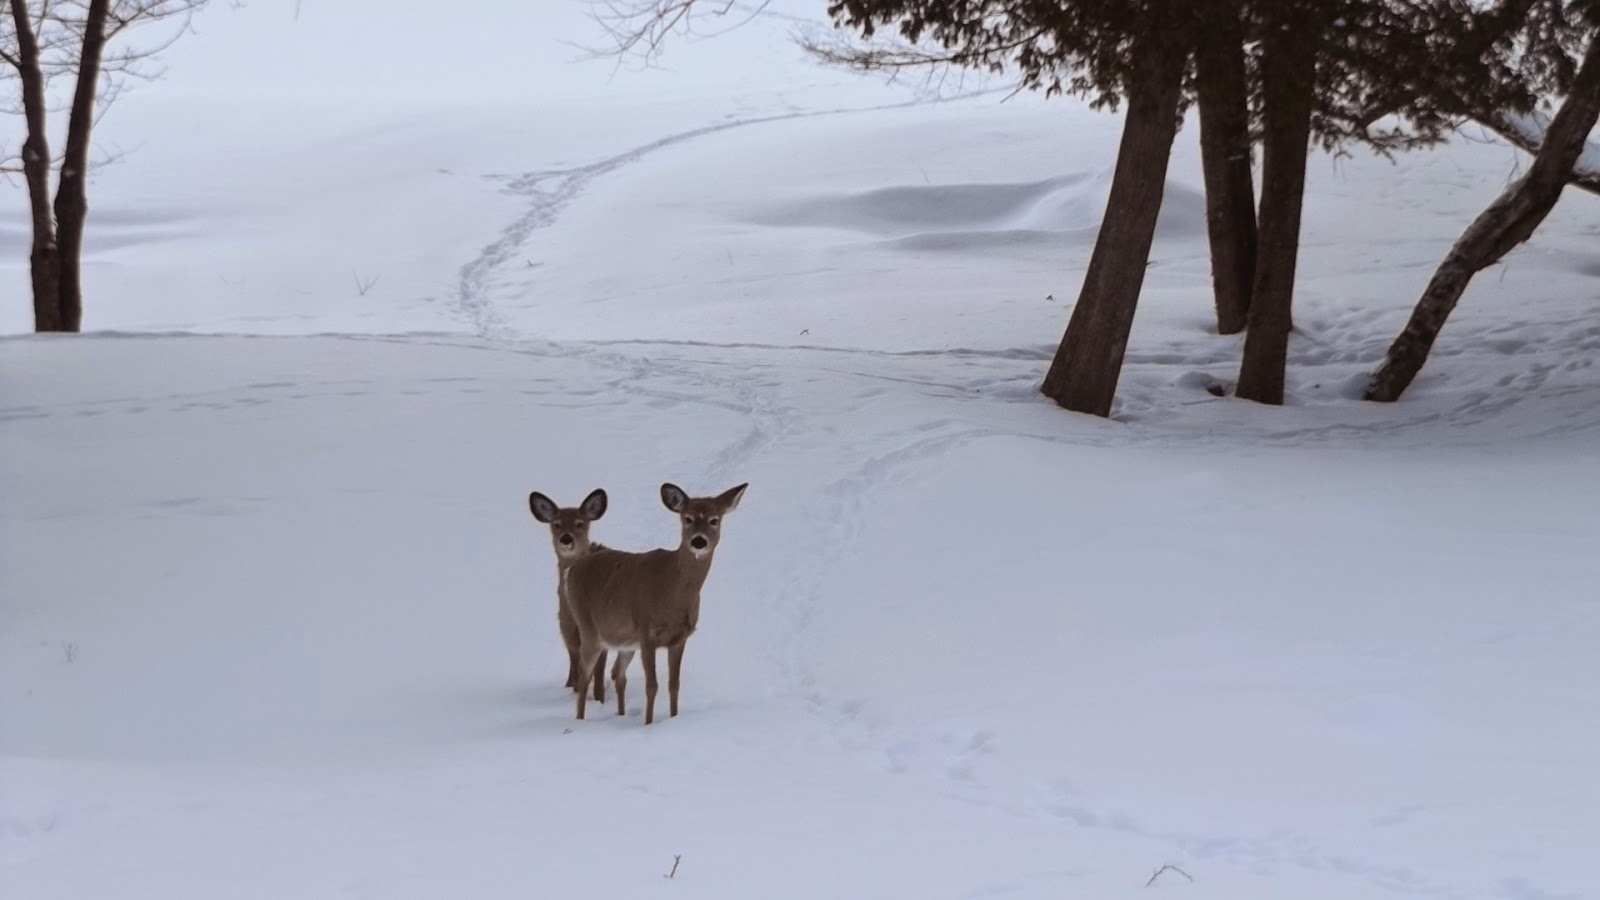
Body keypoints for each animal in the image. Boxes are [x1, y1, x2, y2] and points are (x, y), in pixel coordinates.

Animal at [528, 488, 611, 701]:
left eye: (580, 523)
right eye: (556, 524)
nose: (566, 538)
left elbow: (599, 671)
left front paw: (599, 699)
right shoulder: (568, 632)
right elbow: (578, 668)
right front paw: (577, 692)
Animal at [562, 481, 748, 724]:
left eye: (714, 520)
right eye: (687, 518)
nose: (698, 541)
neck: (672, 592)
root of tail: (571, 570)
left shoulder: (679, 638)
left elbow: (674, 685)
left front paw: (673, 719)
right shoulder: (647, 632)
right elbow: (652, 686)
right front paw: (649, 725)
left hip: (626, 643)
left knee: (617, 674)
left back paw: (620, 715)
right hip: (588, 627)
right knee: (584, 677)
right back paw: (580, 721)